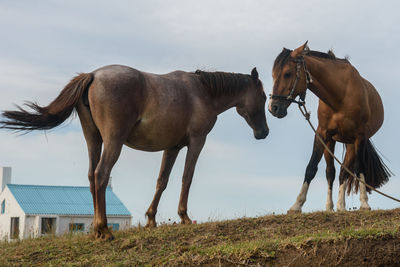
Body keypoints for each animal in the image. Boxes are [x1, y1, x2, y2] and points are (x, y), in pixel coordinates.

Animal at [0, 63, 268, 240]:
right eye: (264, 96)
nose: (263, 132)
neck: (202, 92)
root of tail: (93, 76)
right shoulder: (196, 141)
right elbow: (186, 178)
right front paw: (183, 217)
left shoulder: (172, 147)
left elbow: (162, 181)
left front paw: (151, 219)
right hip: (113, 141)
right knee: (101, 174)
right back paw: (103, 229)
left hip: (93, 140)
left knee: (91, 176)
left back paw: (99, 229)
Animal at [268, 42, 390, 214]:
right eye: (273, 74)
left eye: (287, 74)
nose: (274, 108)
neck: (340, 95)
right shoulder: (322, 134)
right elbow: (312, 167)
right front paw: (297, 205)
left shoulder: (359, 136)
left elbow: (359, 168)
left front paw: (364, 203)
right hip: (331, 142)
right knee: (332, 172)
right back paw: (332, 206)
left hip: (351, 144)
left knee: (344, 172)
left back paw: (341, 205)